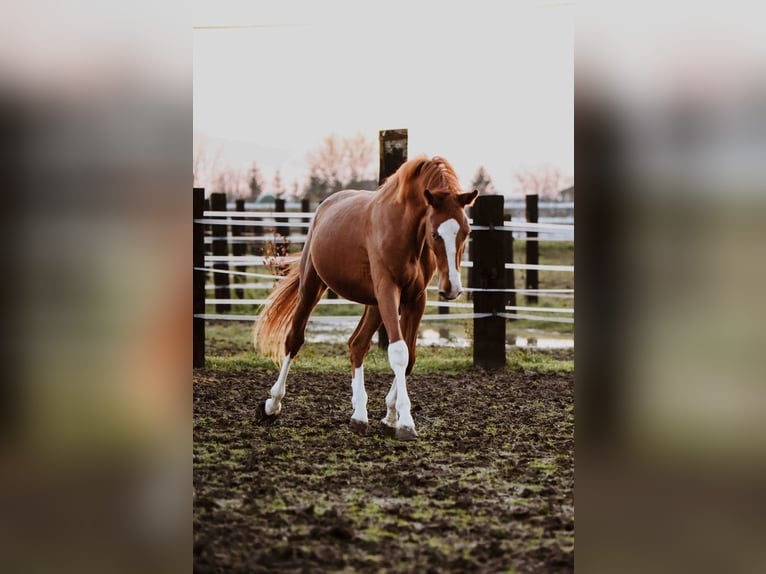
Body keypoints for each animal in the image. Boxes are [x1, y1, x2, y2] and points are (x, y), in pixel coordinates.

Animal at [255, 155, 476, 438]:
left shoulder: (415, 298)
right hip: (312, 286)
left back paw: (359, 415)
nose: (452, 288)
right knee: (295, 340)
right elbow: (399, 352)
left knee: (357, 344)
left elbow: (410, 356)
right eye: (436, 233)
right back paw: (272, 405)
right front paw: (406, 422)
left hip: (374, 304)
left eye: (466, 232)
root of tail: (325, 206)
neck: (405, 230)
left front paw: (391, 416)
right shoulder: (388, 291)